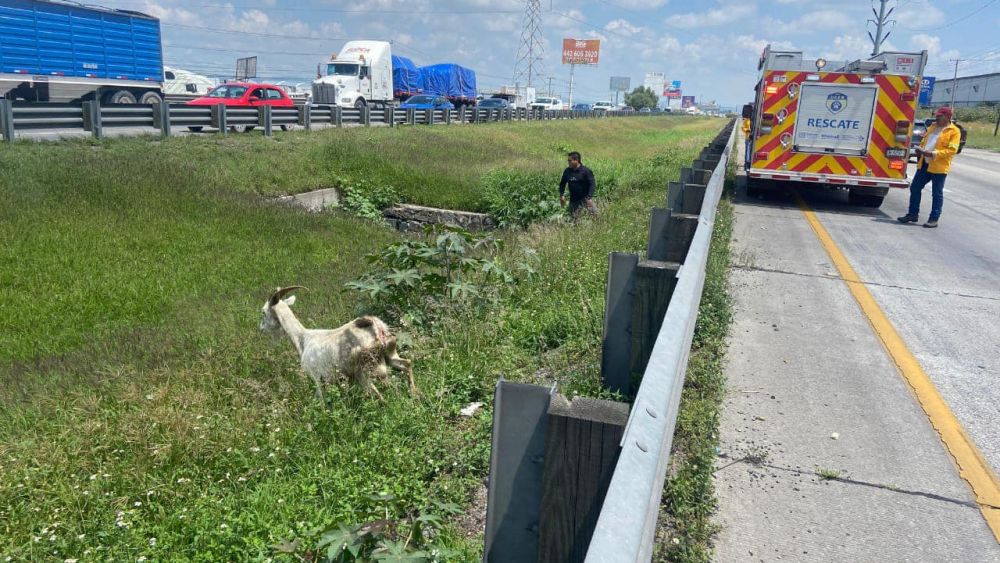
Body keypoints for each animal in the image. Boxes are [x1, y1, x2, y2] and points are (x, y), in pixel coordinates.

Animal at [260, 286, 416, 400]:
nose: (260, 328)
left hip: (365, 369)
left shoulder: (316, 378)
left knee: (378, 395)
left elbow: (322, 402)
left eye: (263, 312)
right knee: (407, 363)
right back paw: (416, 395)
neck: (303, 340)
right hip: (389, 354)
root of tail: (376, 326)